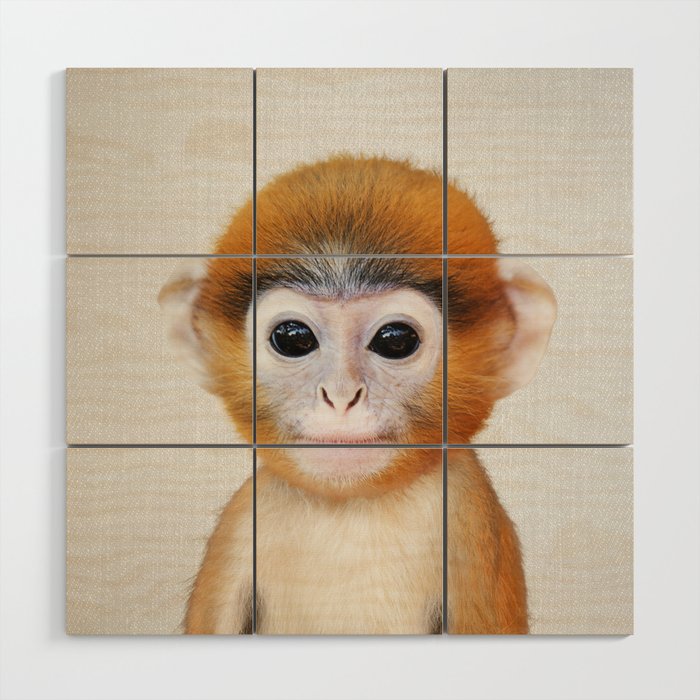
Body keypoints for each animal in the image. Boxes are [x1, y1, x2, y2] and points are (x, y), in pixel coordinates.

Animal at [159, 155, 556, 634]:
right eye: (292, 338)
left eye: (396, 340)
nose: (341, 396)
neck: (351, 505)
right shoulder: (239, 526)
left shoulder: (469, 522)